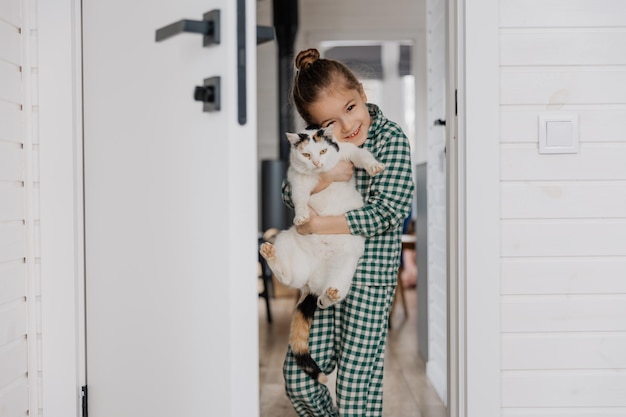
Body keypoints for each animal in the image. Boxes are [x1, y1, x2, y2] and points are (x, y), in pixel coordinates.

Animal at [258, 122, 382, 380]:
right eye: (306, 155)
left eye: (323, 151)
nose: (316, 164)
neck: (318, 174)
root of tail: (312, 282)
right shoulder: (298, 181)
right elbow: (300, 199)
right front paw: (302, 215)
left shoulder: (348, 152)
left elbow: (363, 155)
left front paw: (374, 166)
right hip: (286, 243)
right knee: (288, 277)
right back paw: (270, 253)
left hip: (346, 266)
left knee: (329, 297)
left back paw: (330, 294)